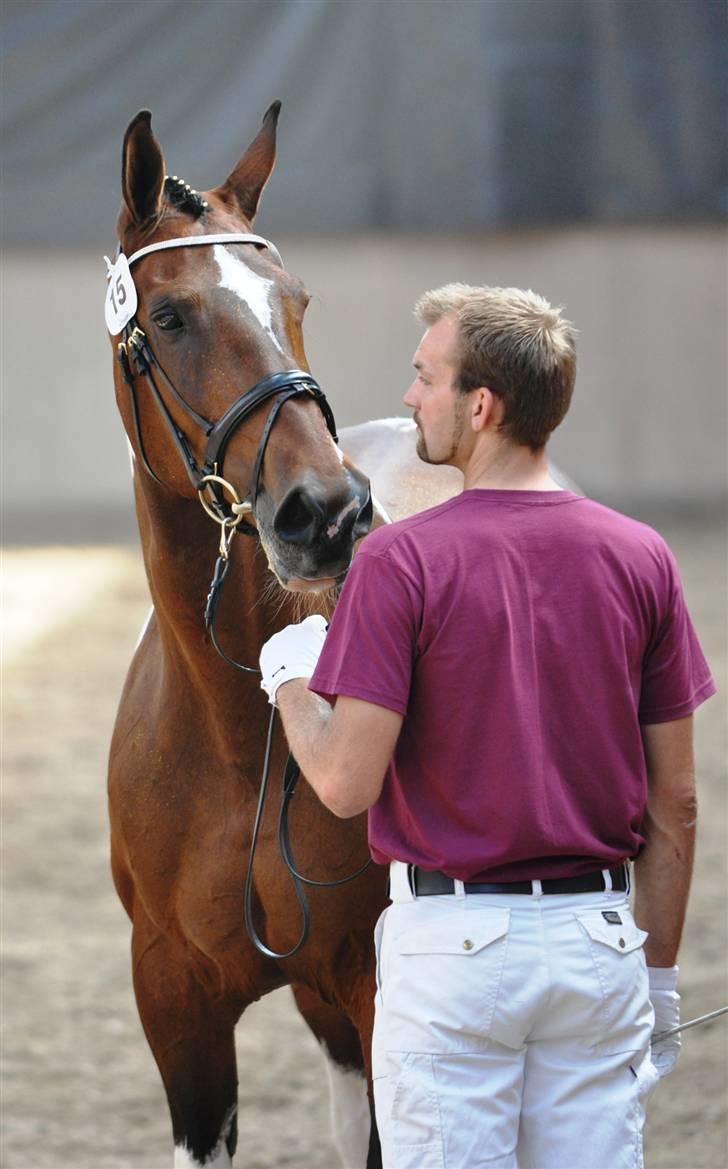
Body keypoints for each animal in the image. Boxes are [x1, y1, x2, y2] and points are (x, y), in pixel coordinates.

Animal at [105, 102, 458, 1169]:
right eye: (169, 316)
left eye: (296, 300)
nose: (329, 513)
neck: (239, 739)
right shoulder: (175, 1001)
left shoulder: (378, 987)